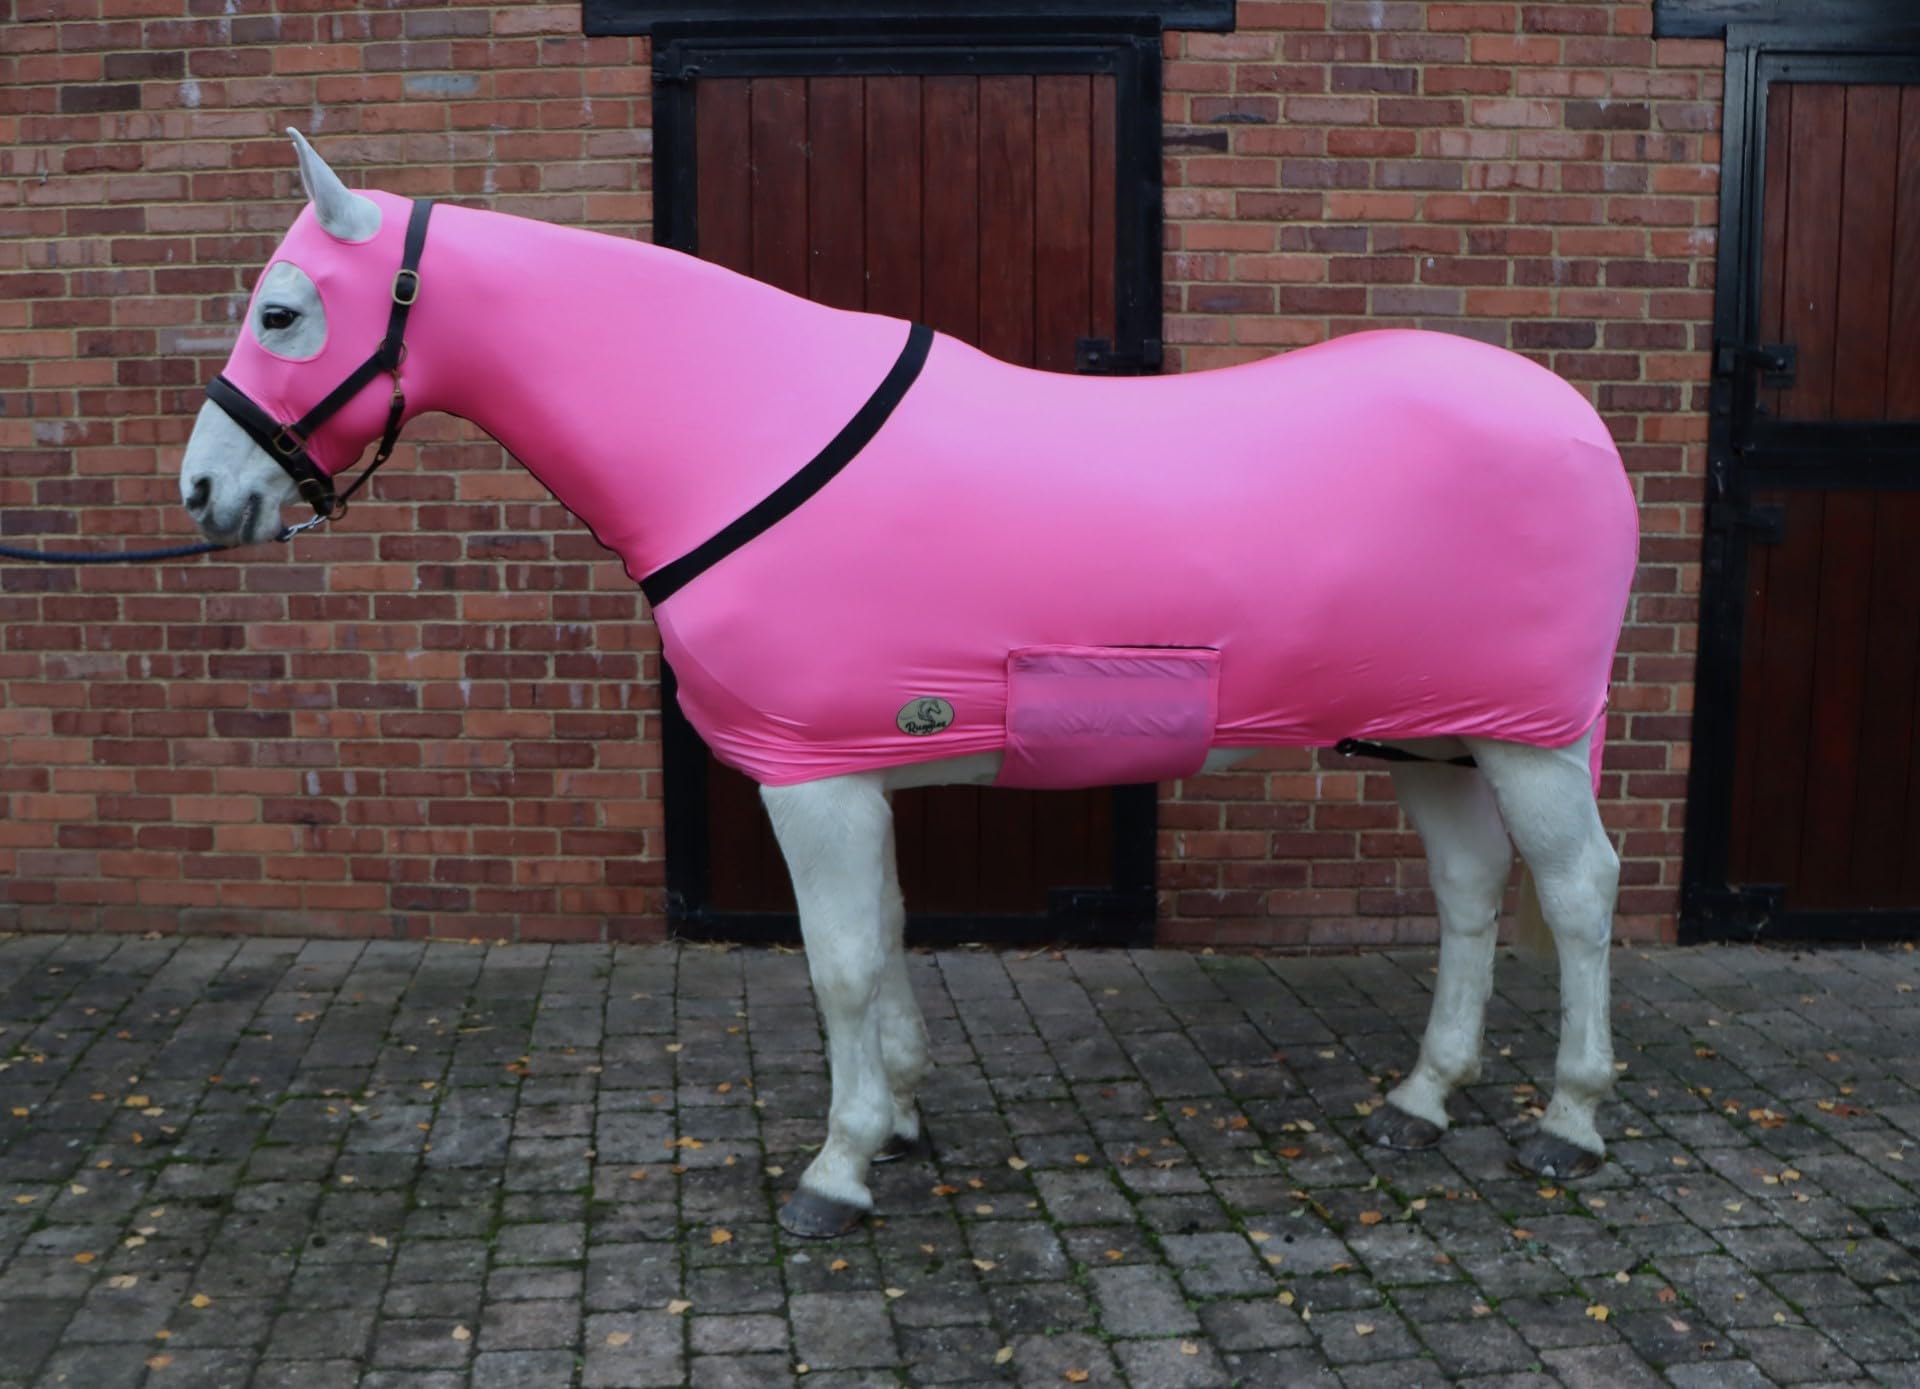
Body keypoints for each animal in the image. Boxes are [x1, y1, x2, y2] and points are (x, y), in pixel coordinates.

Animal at [177, 131, 1638, 1238]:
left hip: (1531, 739)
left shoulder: (814, 775)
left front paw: (838, 1168)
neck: (743, 429)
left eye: (282, 311)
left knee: (1577, 893)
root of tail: (1575, 420)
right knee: (1468, 890)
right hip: (1432, 738)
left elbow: (836, 962)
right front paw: (903, 1115)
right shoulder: (856, 765)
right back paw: (1421, 1101)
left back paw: (1569, 1121)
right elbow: (880, 938)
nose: (203, 494)